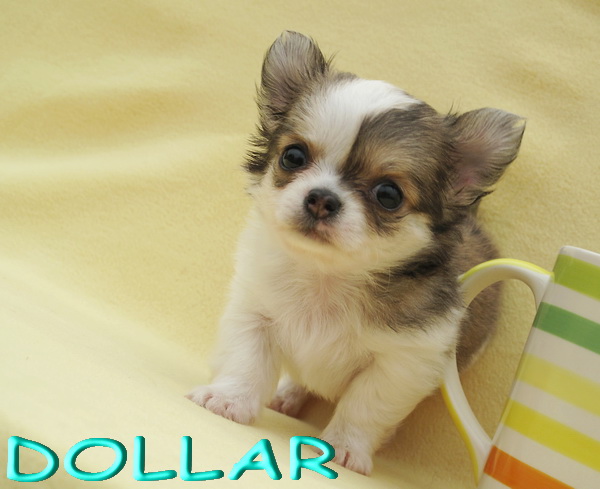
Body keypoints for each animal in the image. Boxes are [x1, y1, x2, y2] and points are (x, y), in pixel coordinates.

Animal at [187, 31, 525, 475]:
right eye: (292, 156)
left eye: (388, 194)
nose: (321, 198)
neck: (326, 277)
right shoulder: (253, 313)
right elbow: (246, 361)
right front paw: (228, 400)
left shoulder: (401, 363)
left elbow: (364, 406)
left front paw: (345, 448)